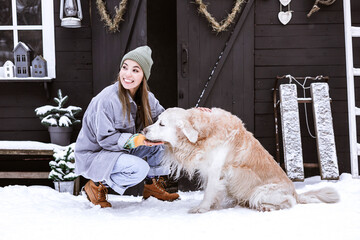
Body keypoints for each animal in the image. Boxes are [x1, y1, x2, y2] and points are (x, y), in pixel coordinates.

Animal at [143, 108, 338, 213]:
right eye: (157, 120)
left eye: (162, 124)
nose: (144, 130)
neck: (204, 135)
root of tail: (296, 192)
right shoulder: (208, 171)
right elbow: (211, 191)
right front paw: (212, 206)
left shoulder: (215, 171)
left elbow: (209, 191)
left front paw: (202, 208)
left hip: (260, 191)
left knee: (288, 203)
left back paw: (265, 207)